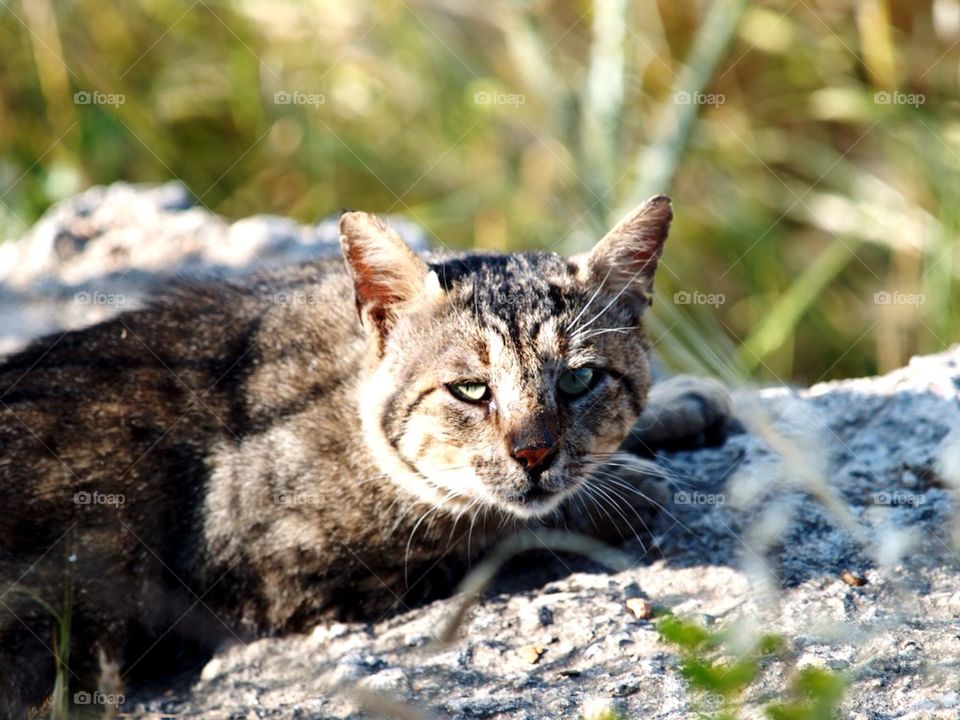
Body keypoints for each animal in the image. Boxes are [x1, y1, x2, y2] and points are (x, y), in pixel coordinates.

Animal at [0, 193, 728, 716]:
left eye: (578, 381)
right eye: (470, 390)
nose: (534, 452)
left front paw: (677, 403)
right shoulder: (277, 562)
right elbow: (484, 522)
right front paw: (622, 488)